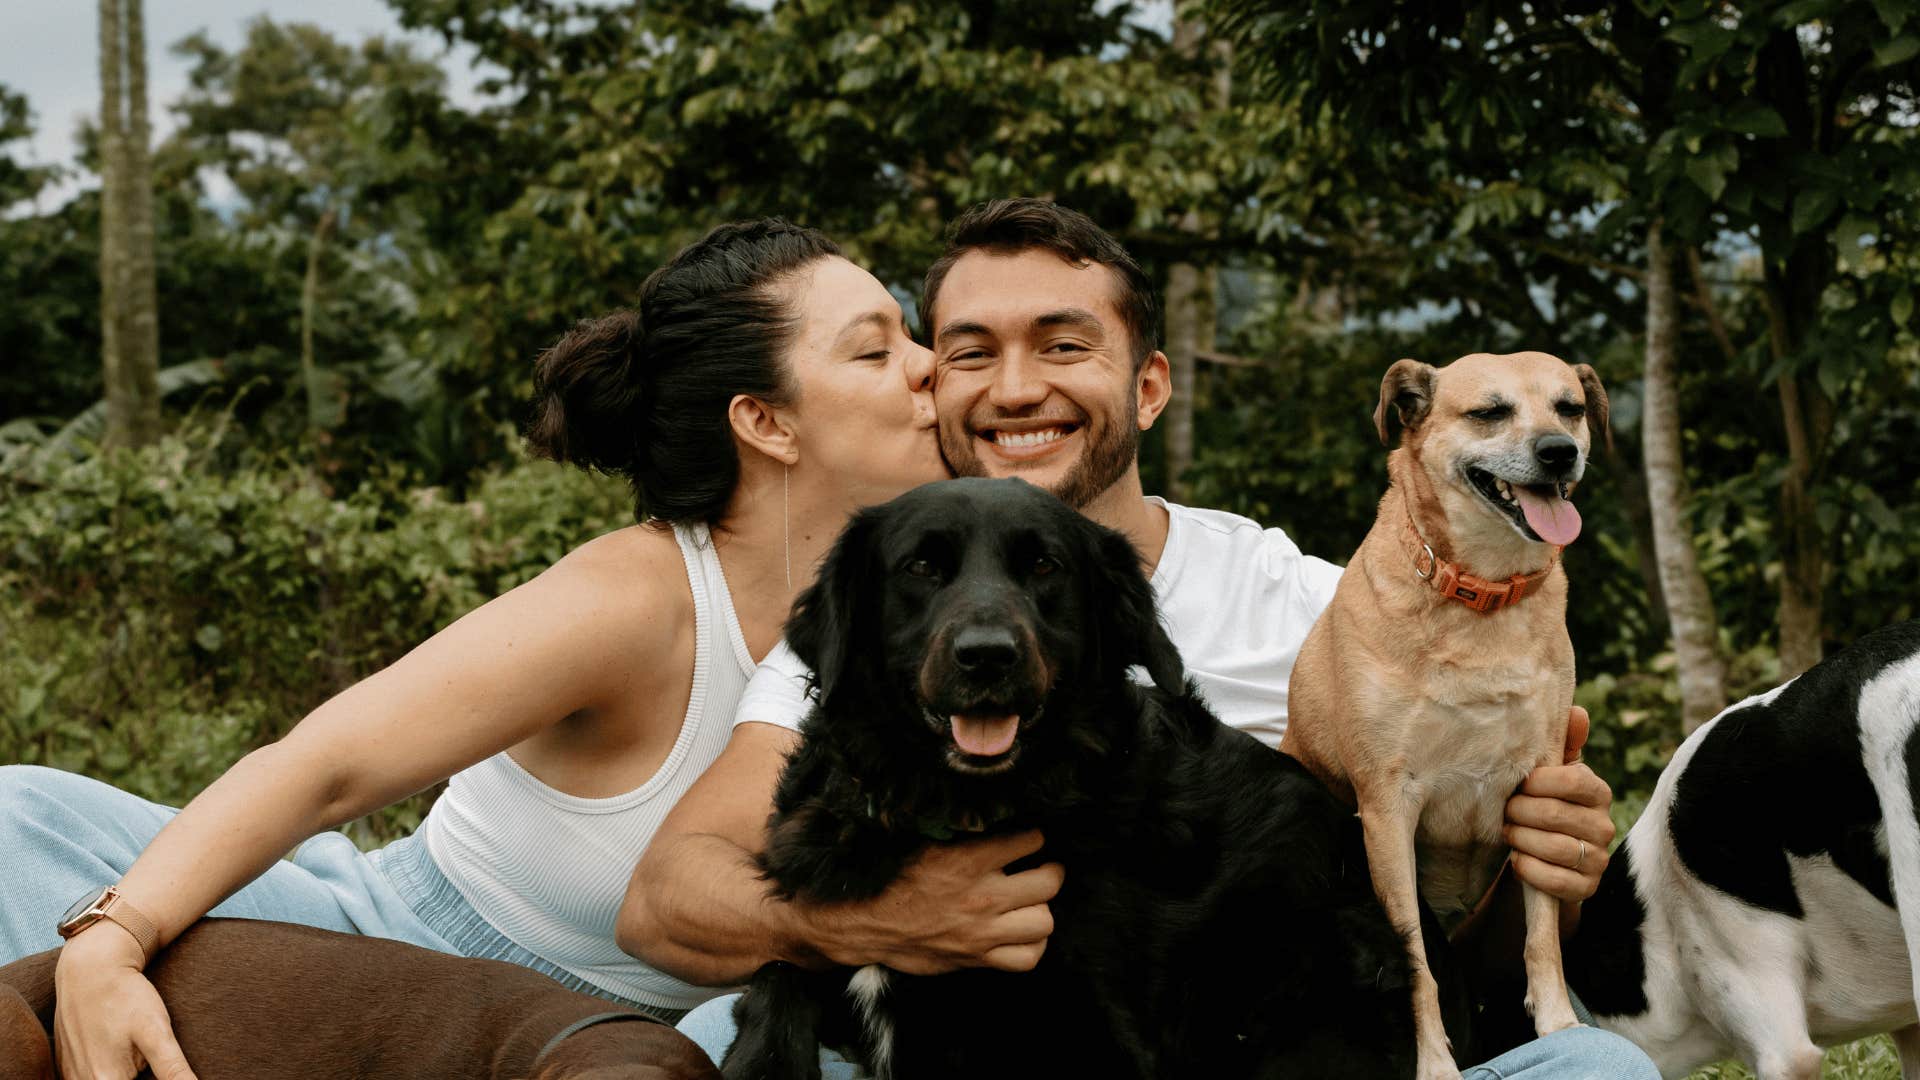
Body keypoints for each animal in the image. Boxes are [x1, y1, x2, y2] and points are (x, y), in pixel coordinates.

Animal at [721, 478, 1466, 1076]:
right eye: (922, 567)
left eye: (1043, 566)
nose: (987, 657)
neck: (958, 807)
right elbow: (776, 974)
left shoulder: (1091, 1032)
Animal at [1282, 351, 1612, 1076]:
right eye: (1489, 412)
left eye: (1570, 407)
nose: (1560, 452)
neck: (1483, 594)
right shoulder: (1387, 808)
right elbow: (1415, 964)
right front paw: (1433, 1062)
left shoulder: (1538, 786)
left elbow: (1541, 938)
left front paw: (1559, 1026)